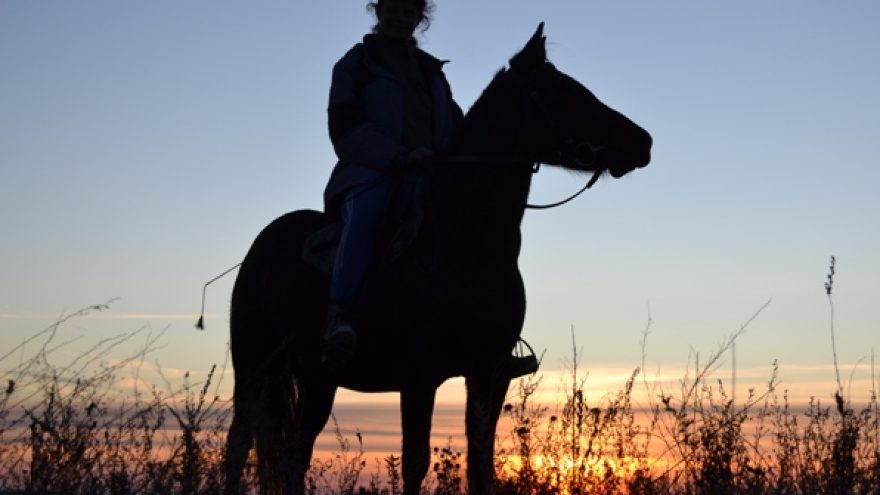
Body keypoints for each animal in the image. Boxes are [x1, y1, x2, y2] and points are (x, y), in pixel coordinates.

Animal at [223, 23, 652, 495]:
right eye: (562, 93)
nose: (642, 141)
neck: (465, 243)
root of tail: (264, 244)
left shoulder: (488, 374)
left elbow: (481, 466)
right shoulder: (419, 375)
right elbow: (415, 462)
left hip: (316, 376)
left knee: (294, 452)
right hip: (255, 368)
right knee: (240, 445)